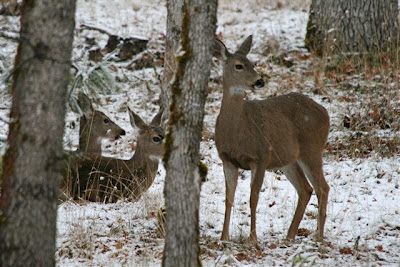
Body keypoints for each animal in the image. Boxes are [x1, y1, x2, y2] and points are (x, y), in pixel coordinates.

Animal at [214, 35, 330, 247]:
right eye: (239, 65)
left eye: (253, 63)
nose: (259, 81)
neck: (237, 131)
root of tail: (325, 111)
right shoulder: (227, 159)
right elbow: (229, 198)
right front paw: (224, 238)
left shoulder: (260, 156)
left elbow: (253, 197)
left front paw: (253, 239)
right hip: (288, 159)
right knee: (306, 188)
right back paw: (290, 235)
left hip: (312, 148)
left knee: (322, 187)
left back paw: (318, 236)